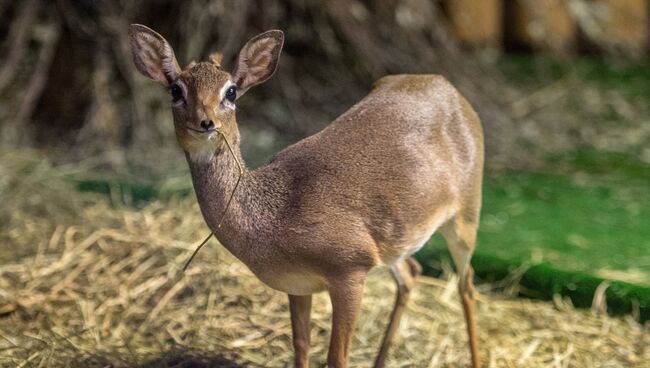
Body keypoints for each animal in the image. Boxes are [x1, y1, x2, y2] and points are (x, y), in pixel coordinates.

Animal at [129, 24, 480, 366]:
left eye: (230, 91)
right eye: (176, 90)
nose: (206, 122)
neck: (276, 217)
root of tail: (447, 86)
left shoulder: (350, 268)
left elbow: (337, 357)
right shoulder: (297, 283)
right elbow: (300, 346)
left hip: (466, 212)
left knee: (467, 286)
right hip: (399, 238)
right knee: (411, 273)